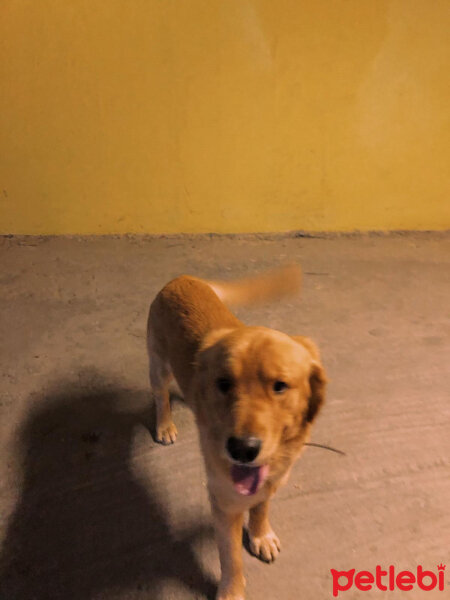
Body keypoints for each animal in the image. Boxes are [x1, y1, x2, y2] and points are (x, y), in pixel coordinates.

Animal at [148, 268, 326, 600]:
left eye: (280, 386)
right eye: (224, 383)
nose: (242, 449)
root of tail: (183, 278)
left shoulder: (272, 479)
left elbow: (261, 507)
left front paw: (260, 534)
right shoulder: (225, 501)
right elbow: (231, 557)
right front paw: (232, 590)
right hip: (158, 364)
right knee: (161, 395)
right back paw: (164, 425)